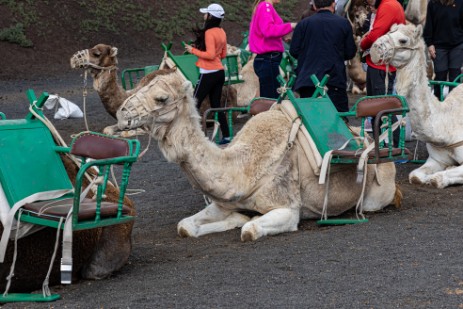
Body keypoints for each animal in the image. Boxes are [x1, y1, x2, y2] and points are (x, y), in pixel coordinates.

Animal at [114, 72, 400, 241]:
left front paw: (244, 221)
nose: (122, 113)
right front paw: (235, 218)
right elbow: (185, 226)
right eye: (138, 87)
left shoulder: (287, 208)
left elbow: (248, 231)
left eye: (161, 98)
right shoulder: (223, 202)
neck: (243, 169)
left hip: (375, 195)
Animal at [372, 22, 463, 188]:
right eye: (390, 31)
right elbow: (415, 176)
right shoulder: (436, 159)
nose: (375, 48)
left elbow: (437, 179)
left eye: (403, 40)